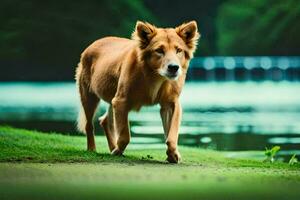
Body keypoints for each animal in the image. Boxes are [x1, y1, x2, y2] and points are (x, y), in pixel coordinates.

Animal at [76, 21, 200, 163]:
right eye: (159, 50)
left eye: (178, 50)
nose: (174, 68)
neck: (156, 77)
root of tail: (92, 44)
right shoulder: (121, 101)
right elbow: (125, 134)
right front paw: (118, 151)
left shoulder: (171, 104)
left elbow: (172, 135)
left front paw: (173, 154)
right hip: (89, 97)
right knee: (89, 125)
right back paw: (93, 149)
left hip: (112, 98)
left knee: (105, 120)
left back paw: (112, 147)